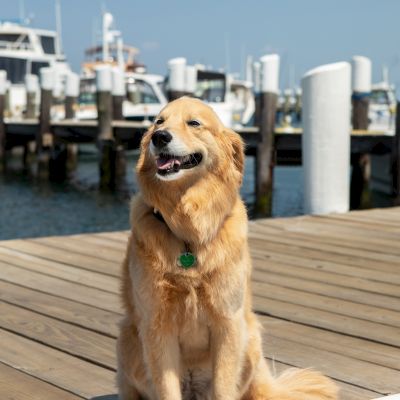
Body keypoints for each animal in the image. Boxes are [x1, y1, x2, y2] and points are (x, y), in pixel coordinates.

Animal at [115, 97, 338, 400]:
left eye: (194, 123)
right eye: (158, 122)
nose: (159, 137)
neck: (188, 228)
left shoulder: (228, 322)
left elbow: (223, 387)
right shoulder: (157, 326)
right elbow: (167, 389)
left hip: (250, 338)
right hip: (127, 338)